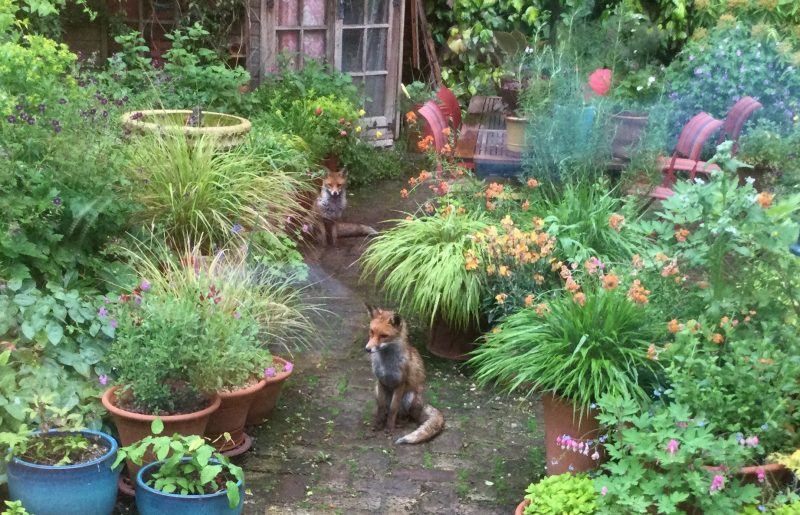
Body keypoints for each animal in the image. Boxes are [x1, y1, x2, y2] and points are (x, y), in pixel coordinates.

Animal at [362, 304, 444, 446]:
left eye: (383, 336)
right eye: (371, 332)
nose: (367, 349)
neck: (387, 365)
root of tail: (423, 404)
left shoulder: (400, 384)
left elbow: (393, 409)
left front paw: (389, 428)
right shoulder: (380, 382)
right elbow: (381, 407)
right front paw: (378, 425)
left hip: (409, 396)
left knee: (407, 418)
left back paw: (399, 423)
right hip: (376, 390)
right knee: (386, 409)